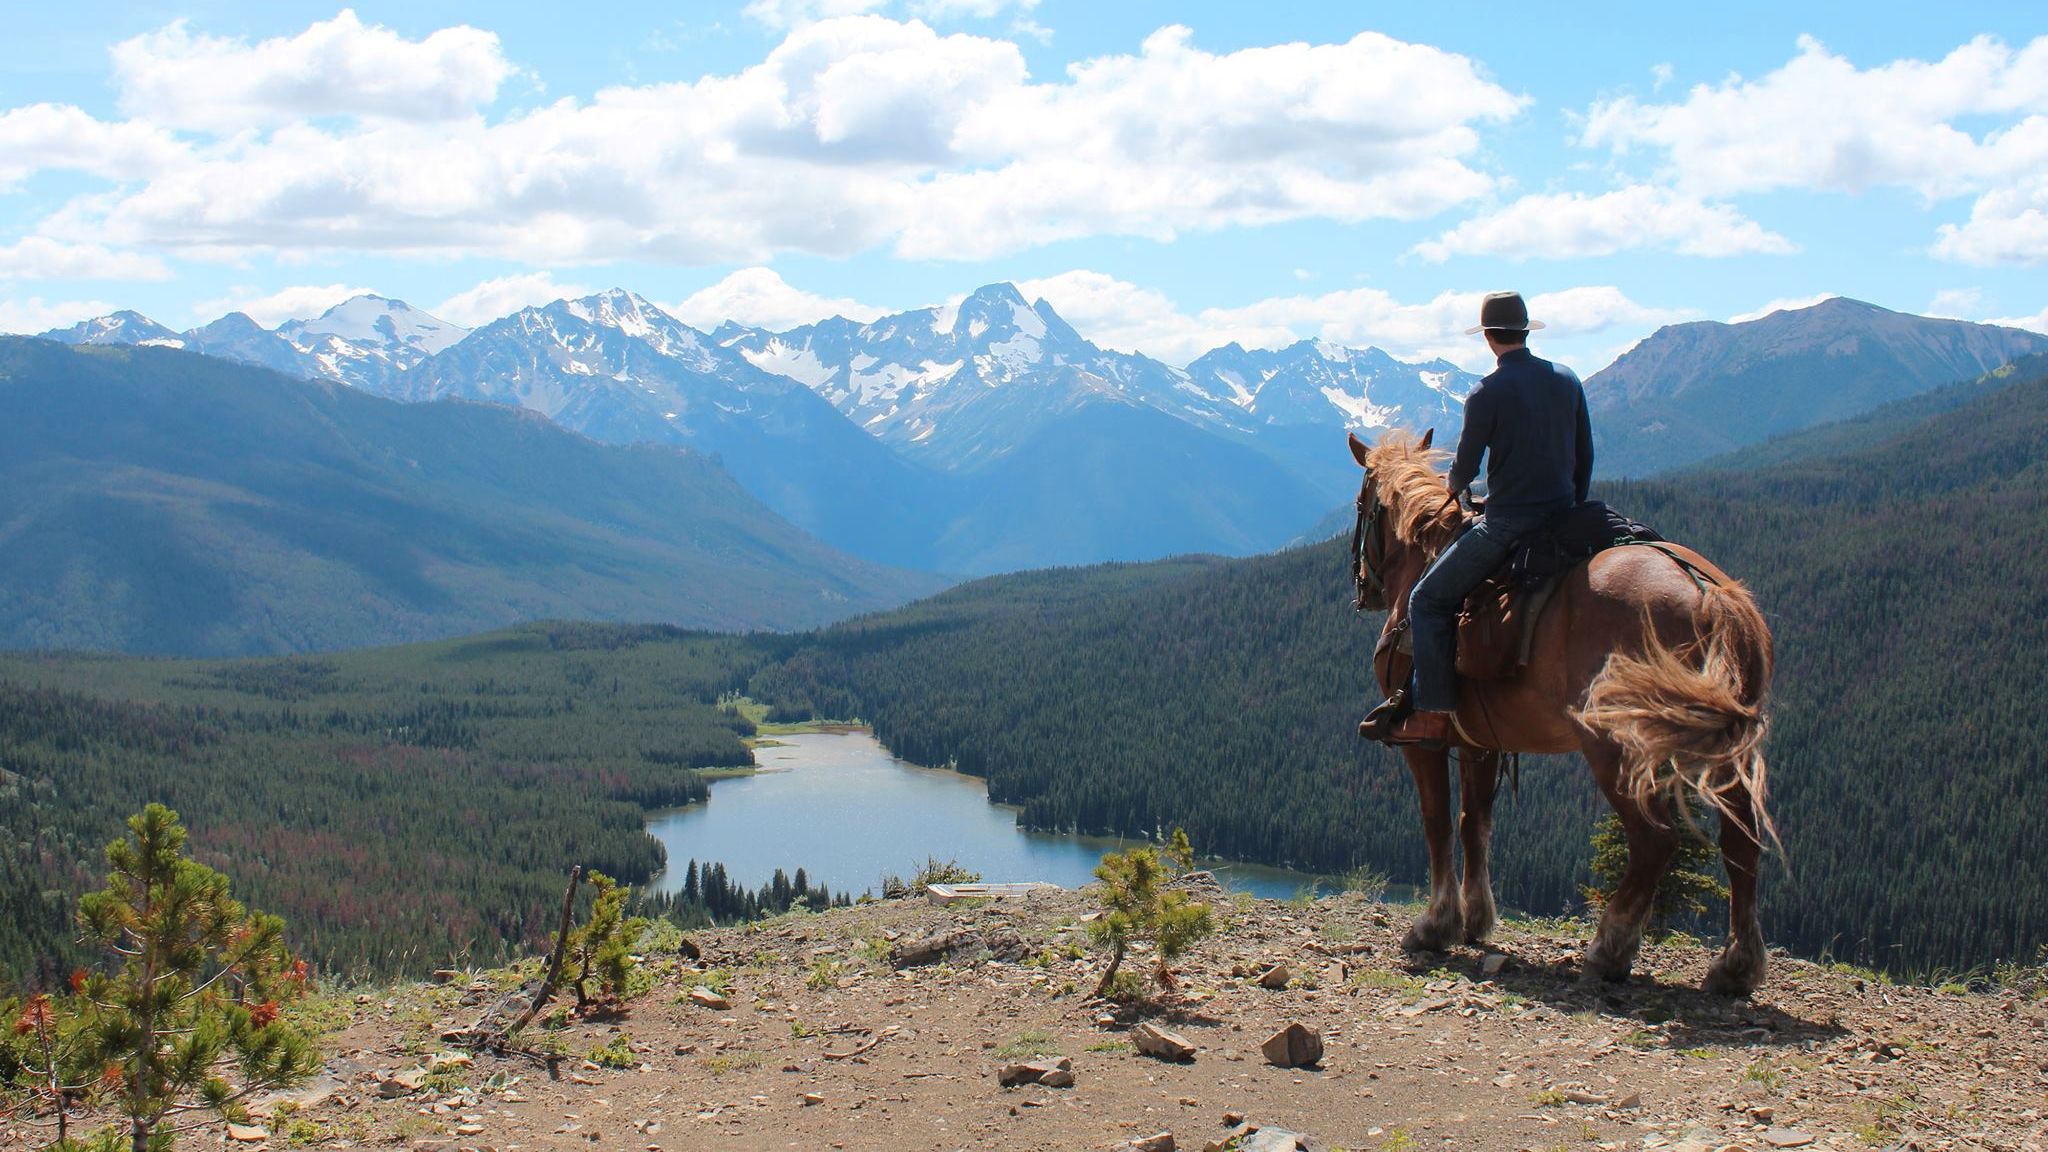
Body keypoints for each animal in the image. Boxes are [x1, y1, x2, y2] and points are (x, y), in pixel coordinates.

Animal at [1343, 426, 1777, 992]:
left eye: (1359, 504)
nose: (1361, 589)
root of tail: (1712, 596)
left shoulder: (1422, 741)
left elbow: (1436, 820)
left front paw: (1436, 925)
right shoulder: (1482, 741)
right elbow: (1474, 822)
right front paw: (1476, 920)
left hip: (1614, 749)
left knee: (1655, 840)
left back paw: (1610, 949)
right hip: (1725, 751)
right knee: (1740, 840)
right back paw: (1735, 966)